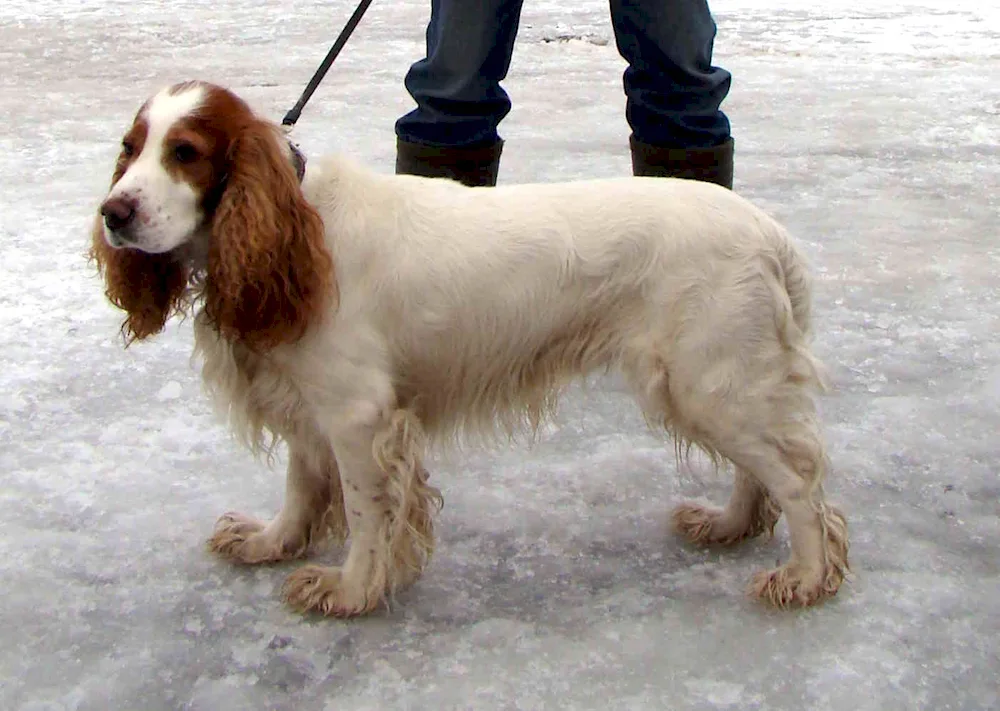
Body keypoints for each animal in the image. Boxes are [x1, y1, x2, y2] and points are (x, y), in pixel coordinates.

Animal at [90, 79, 848, 616]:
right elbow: (302, 488)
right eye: (130, 148)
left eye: (185, 152)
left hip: (711, 379)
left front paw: (350, 590)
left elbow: (366, 513)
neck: (293, 232)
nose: (113, 213)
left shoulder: (360, 416)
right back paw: (729, 525)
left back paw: (806, 575)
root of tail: (767, 230)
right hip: (717, 382)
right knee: (762, 473)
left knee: (798, 482)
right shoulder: (311, 403)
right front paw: (269, 542)